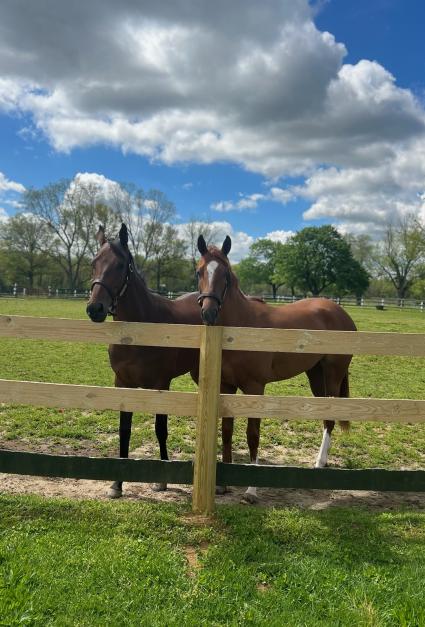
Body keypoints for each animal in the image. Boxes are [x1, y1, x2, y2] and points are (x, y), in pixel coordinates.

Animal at [87, 223, 201, 498]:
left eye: (120, 265)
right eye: (93, 263)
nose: (95, 308)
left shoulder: (161, 385)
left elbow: (160, 428)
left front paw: (162, 480)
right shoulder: (122, 384)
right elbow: (124, 430)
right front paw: (117, 484)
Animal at [197, 236, 356, 506]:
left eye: (225, 274)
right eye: (199, 271)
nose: (208, 312)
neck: (242, 326)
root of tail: (340, 312)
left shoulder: (255, 388)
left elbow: (252, 435)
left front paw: (251, 491)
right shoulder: (226, 386)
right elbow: (227, 431)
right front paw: (222, 484)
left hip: (333, 375)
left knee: (330, 418)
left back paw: (318, 464)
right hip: (316, 376)